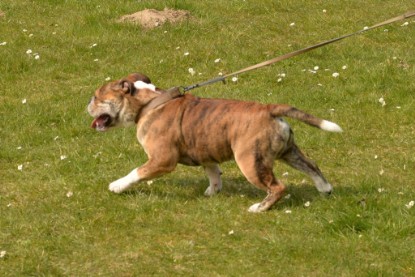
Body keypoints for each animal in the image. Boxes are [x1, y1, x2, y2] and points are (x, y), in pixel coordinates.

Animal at [87, 73, 342, 211]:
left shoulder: (161, 159)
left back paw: (259, 208)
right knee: (311, 165)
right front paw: (213, 190)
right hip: (288, 151)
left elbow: (136, 172)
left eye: (97, 97)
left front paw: (118, 185)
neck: (149, 102)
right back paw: (325, 189)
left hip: (251, 162)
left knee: (278, 187)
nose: (87, 104)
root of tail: (269, 109)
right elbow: (212, 171)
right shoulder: (204, 151)